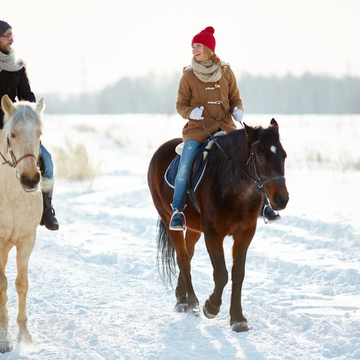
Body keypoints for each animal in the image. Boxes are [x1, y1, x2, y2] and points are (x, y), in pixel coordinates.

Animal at [147, 119, 290, 332]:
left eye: (284, 155)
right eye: (261, 158)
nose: (282, 199)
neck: (234, 189)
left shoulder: (245, 233)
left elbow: (238, 273)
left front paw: (238, 318)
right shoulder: (213, 234)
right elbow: (221, 273)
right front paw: (211, 307)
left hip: (194, 228)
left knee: (188, 255)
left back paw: (181, 299)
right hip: (168, 219)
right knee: (183, 259)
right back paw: (192, 304)